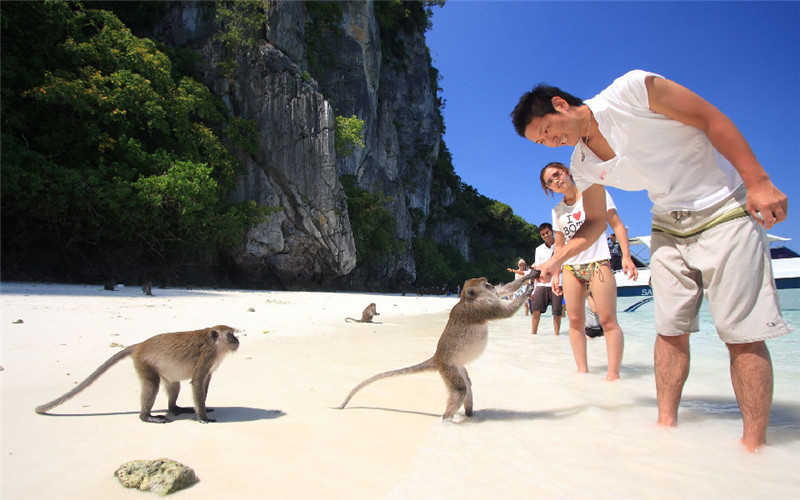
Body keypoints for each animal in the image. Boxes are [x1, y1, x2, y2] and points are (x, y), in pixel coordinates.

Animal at [35, 324, 241, 422]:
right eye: (230, 334)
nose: (237, 340)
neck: (215, 346)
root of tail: (140, 345)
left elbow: (204, 382)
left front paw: (203, 407)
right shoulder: (206, 355)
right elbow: (197, 381)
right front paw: (202, 417)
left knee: (173, 385)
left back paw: (174, 408)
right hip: (144, 363)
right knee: (152, 384)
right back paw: (146, 416)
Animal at [334, 272, 540, 420]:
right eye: (486, 285)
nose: (491, 286)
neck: (468, 299)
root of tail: (437, 357)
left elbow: (504, 291)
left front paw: (531, 275)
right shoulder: (484, 307)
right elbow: (506, 311)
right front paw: (528, 290)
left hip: (456, 367)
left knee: (467, 385)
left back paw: (469, 414)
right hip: (448, 368)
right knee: (460, 390)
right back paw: (447, 419)